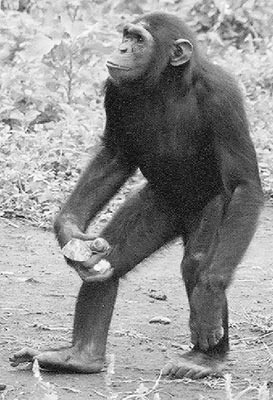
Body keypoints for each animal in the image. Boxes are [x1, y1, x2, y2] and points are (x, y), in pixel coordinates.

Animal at [10, 11, 262, 378]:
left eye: (139, 40)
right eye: (126, 35)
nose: (122, 48)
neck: (168, 84)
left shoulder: (223, 97)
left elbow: (244, 184)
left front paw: (210, 297)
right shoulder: (114, 91)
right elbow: (115, 154)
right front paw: (68, 227)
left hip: (214, 207)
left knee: (197, 261)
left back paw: (205, 360)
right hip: (158, 204)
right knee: (110, 260)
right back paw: (80, 356)